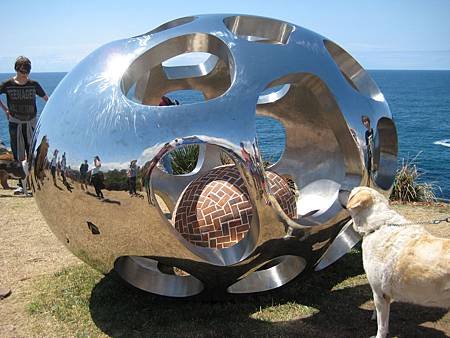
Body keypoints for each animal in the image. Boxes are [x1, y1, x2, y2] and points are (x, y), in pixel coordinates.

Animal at [346, 187, 448, 338]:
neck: (377, 226)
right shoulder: (383, 296)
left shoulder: (380, 294)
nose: (342, 189)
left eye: (351, 193)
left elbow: (382, 326)